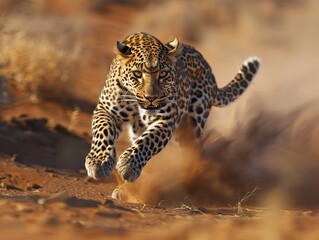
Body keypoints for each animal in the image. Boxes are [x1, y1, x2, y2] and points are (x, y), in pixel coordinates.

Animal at [85, 31, 260, 182]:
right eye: (137, 74)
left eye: (163, 74)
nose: (151, 98)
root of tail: (211, 75)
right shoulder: (105, 109)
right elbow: (103, 131)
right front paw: (99, 162)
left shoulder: (165, 119)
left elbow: (147, 141)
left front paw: (129, 165)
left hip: (190, 127)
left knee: (190, 156)